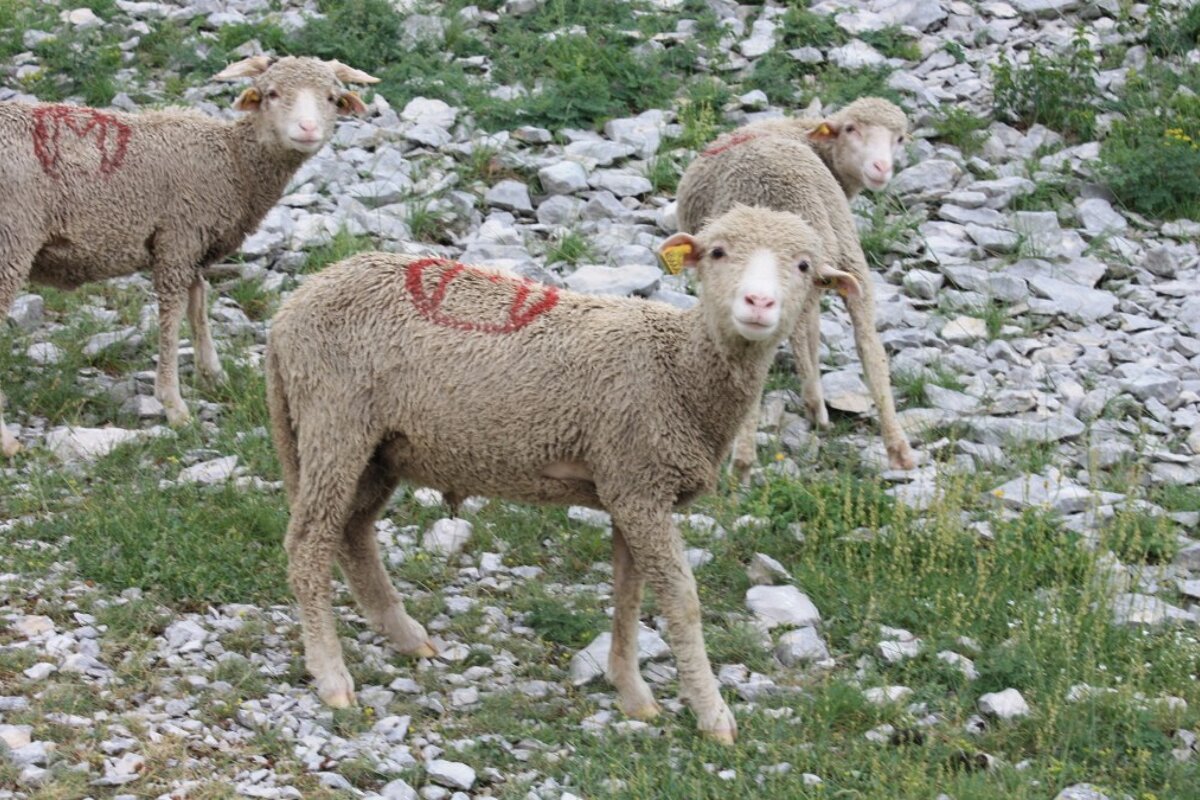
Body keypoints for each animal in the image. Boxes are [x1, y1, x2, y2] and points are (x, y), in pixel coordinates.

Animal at [0, 56, 379, 457]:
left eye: (332, 98)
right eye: (272, 94)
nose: (307, 128)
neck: (233, 162)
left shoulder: (194, 245)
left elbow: (198, 303)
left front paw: (213, 374)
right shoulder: (177, 238)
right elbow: (173, 316)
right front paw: (174, 405)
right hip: (13, 239)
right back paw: (7, 442)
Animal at [265, 205, 860, 743]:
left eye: (804, 266)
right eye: (717, 252)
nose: (758, 303)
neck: (680, 370)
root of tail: (289, 312)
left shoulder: (629, 485)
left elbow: (628, 592)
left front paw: (633, 692)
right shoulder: (640, 484)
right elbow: (681, 601)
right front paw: (712, 714)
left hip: (379, 448)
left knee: (353, 533)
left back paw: (406, 636)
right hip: (335, 420)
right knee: (309, 543)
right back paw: (332, 675)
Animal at [677, 132, 917, 476]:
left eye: (898, 138)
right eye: (852, 130)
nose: (881, 169)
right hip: (849, 262)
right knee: (868, 344)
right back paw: (897, 448)